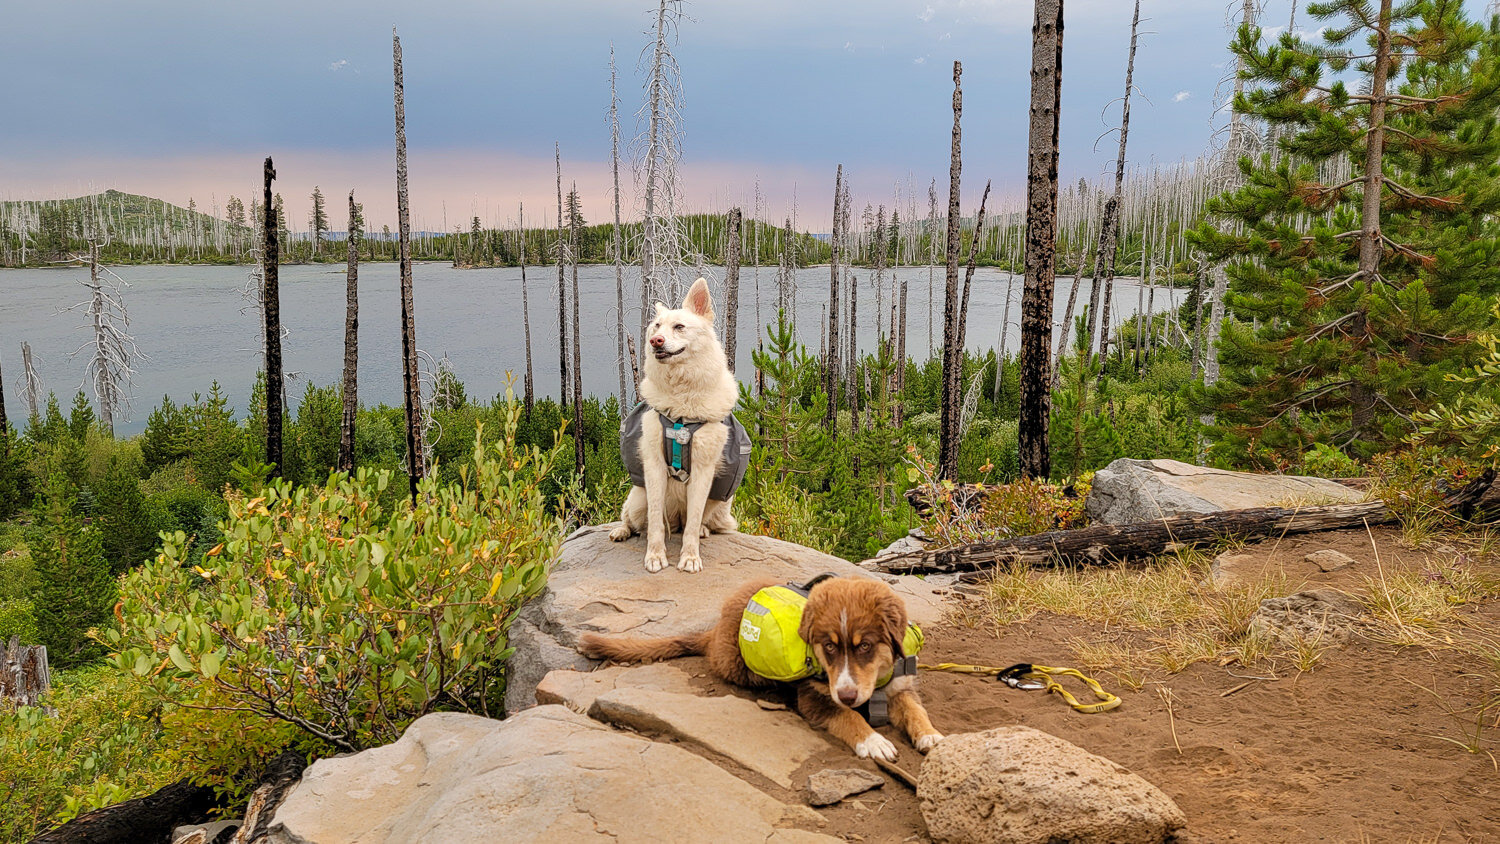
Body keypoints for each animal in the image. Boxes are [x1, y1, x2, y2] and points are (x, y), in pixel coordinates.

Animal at [573, 578, 936, 761]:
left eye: (865, 646)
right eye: (829, 646)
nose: (848, 694)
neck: (876, 685)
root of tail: (715, 629)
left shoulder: (900, 686)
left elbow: (916, 710)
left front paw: (932, 736)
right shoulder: (814, 696)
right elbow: (847, 717)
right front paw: (873, 741)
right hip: (737, 665)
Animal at [609, 278, 750, 575]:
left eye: (679, 326)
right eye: (656, 327)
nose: (655, 341)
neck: (682, 405)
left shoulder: (703, 470)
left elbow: (693, 523)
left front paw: (690, 557)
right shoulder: (653, 465)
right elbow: (654, 523)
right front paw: (654, 555)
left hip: (715, 501)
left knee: (691, 524)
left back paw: (701, 532)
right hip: (638, 499)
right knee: (635, 520)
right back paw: (622, 531)